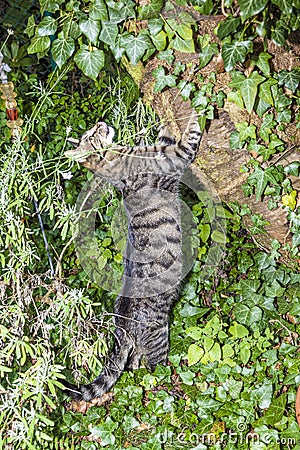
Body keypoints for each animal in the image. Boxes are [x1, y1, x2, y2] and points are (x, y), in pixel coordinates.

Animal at [64, 112, 203, 400]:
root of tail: (122, 326)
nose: (100, 123)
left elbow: (165, 134)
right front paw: (196, 110)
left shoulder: (164, 149)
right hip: (160, 336)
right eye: (91, 134)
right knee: (154, 368)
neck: (116, 158)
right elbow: (190, 136)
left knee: (134, 363)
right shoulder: (175, 156)